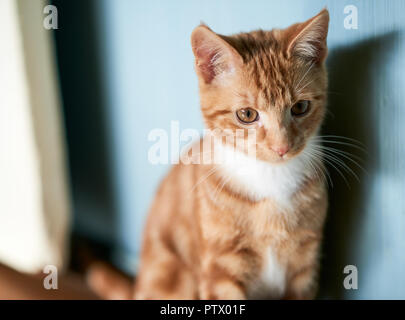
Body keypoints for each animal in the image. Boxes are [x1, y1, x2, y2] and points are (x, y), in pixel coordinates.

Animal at [133, 10, 328, 300]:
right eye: (247, 114)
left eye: (300, 107)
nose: (281, 147)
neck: (270, 179)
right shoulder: (221, 269)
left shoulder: (305, 264)